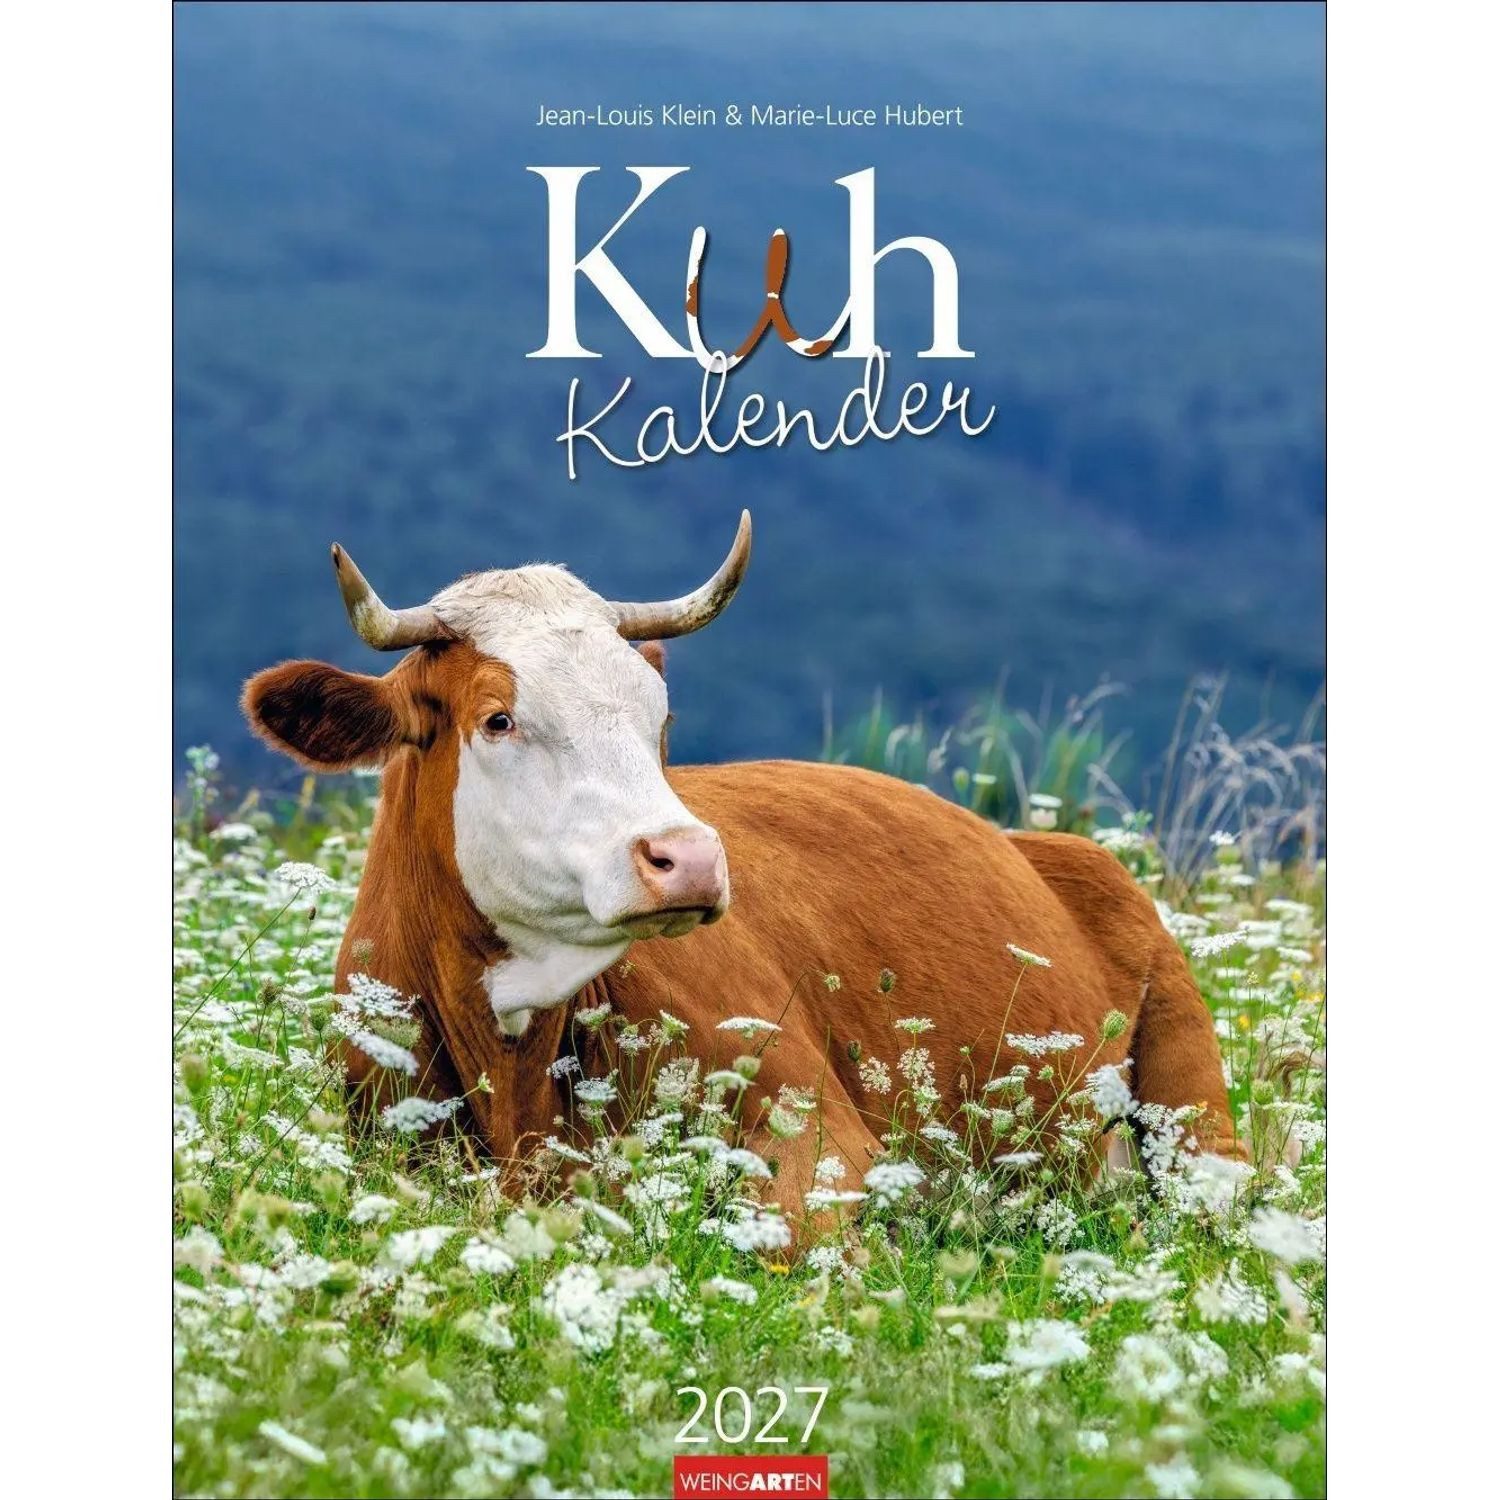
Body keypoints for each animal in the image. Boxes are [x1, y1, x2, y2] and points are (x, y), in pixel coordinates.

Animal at [243, 513, 1237, 1227]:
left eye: (661, 718)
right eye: (497, 718)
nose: (688, 859)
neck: (512, 1056)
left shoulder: (823, 1135)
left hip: (1197, 1115)